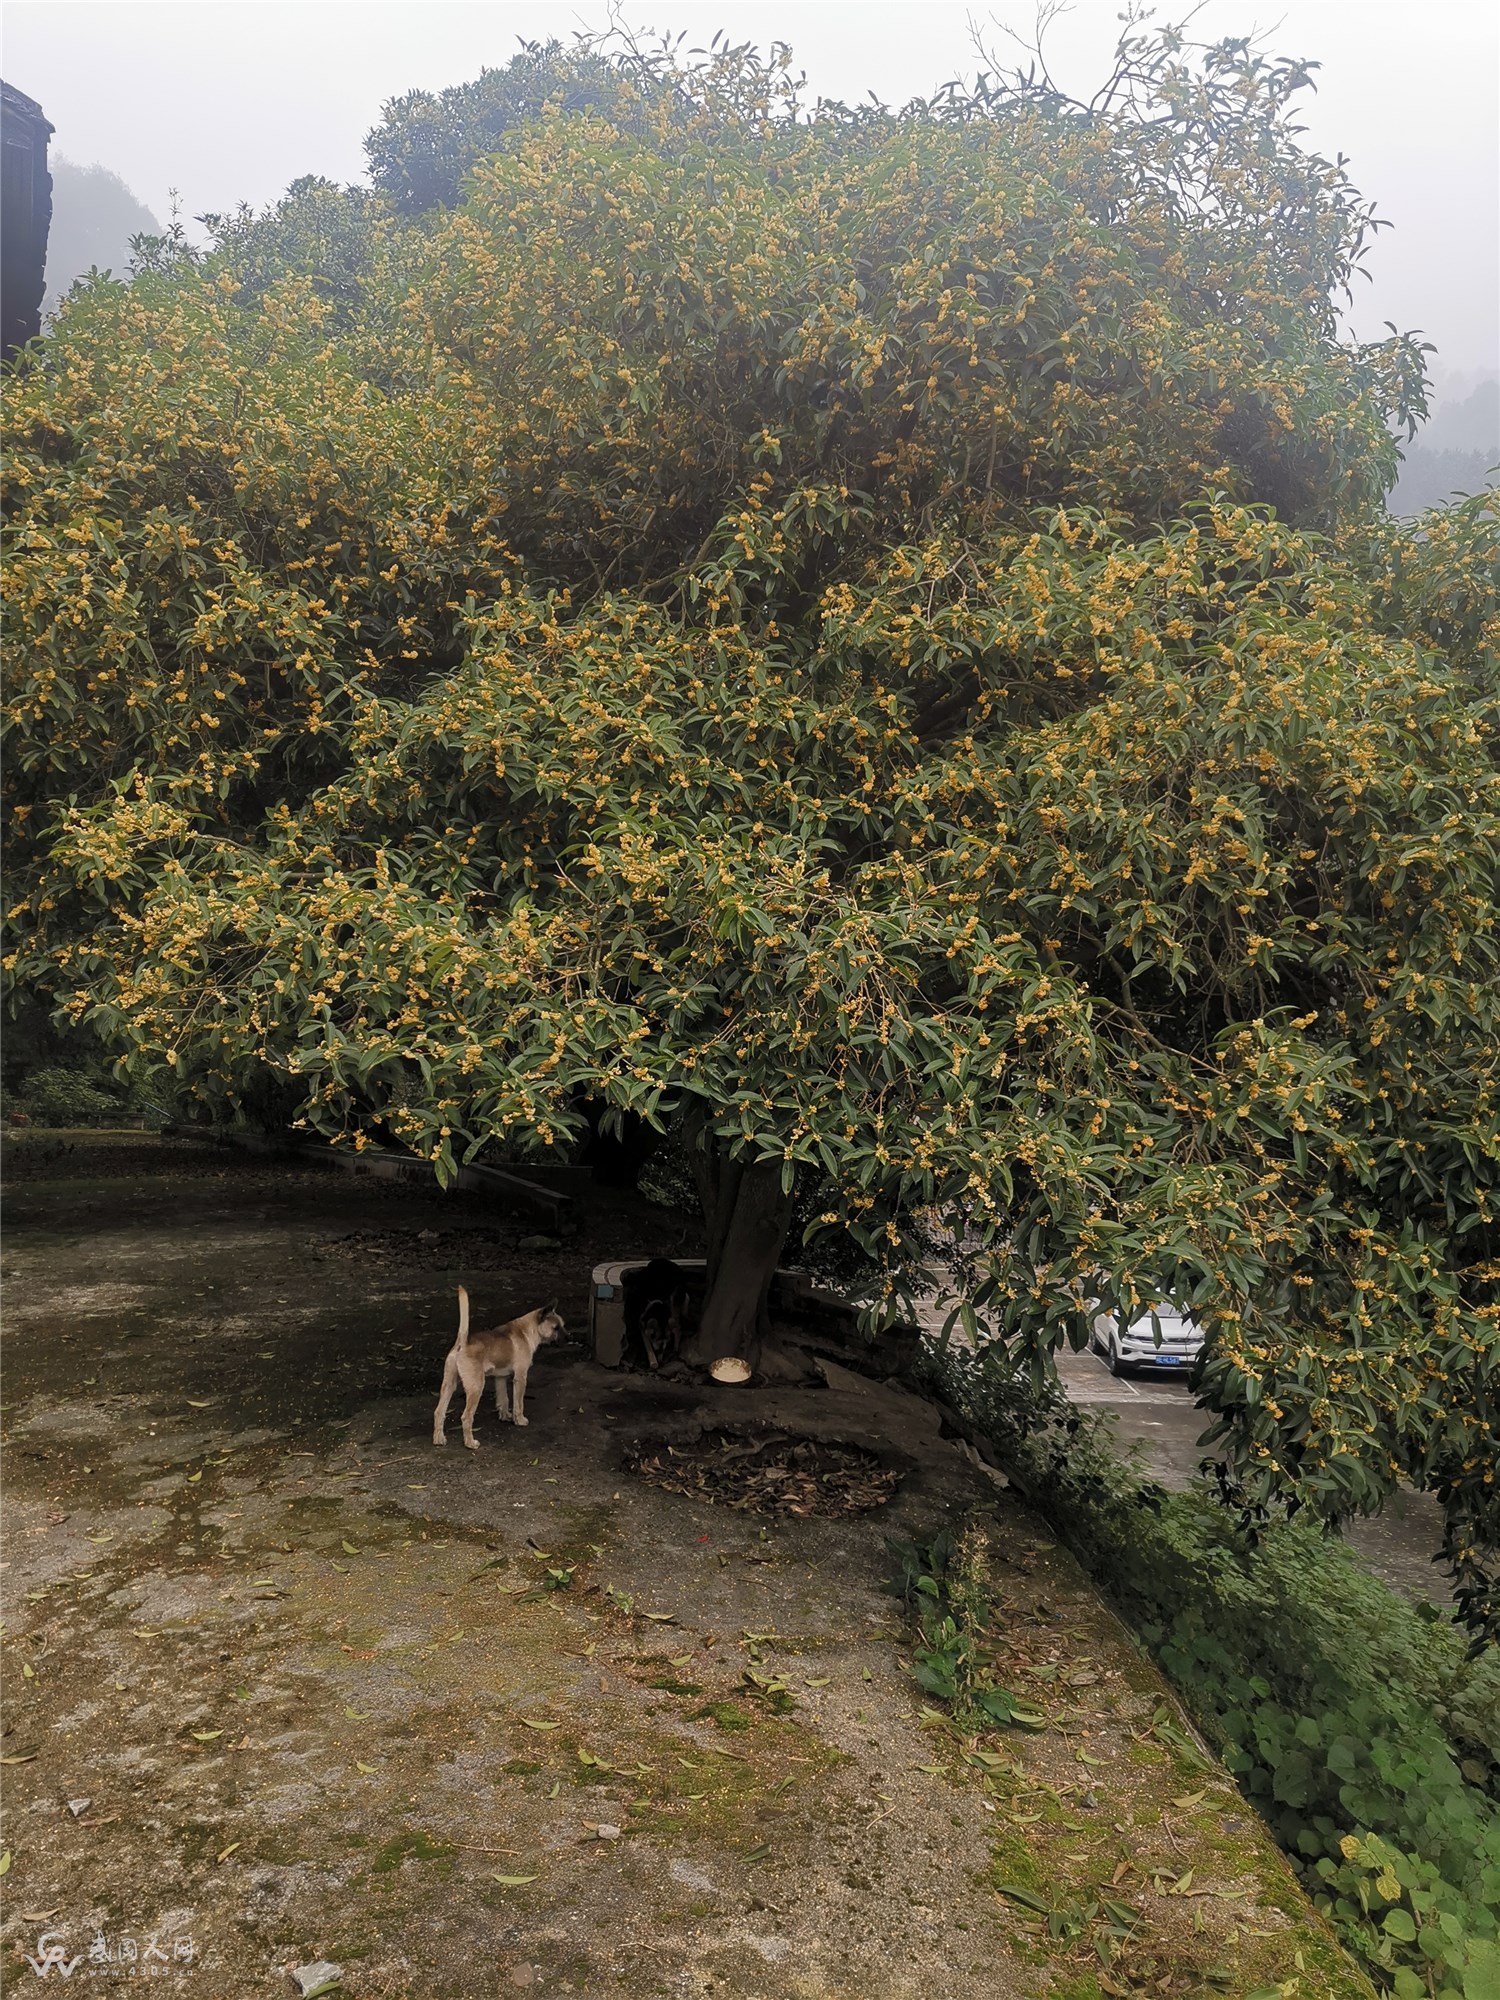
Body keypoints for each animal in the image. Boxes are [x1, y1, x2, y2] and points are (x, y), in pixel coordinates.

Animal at [432, 1288, 568, 1448]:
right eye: (556, 1328)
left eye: (563, 1325)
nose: (569, 1337)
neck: (527, 1330)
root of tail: (462, 1342)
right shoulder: (520, 1377)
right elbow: (518, 1402)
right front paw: (519, 1420)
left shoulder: (500, 1378)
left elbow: (504, 1399)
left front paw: (506, 1416)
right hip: (476, 1387)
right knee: (466, 1417)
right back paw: (470, 1442)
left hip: (449, 1385)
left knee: (439, 1412)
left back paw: (439, 1439)